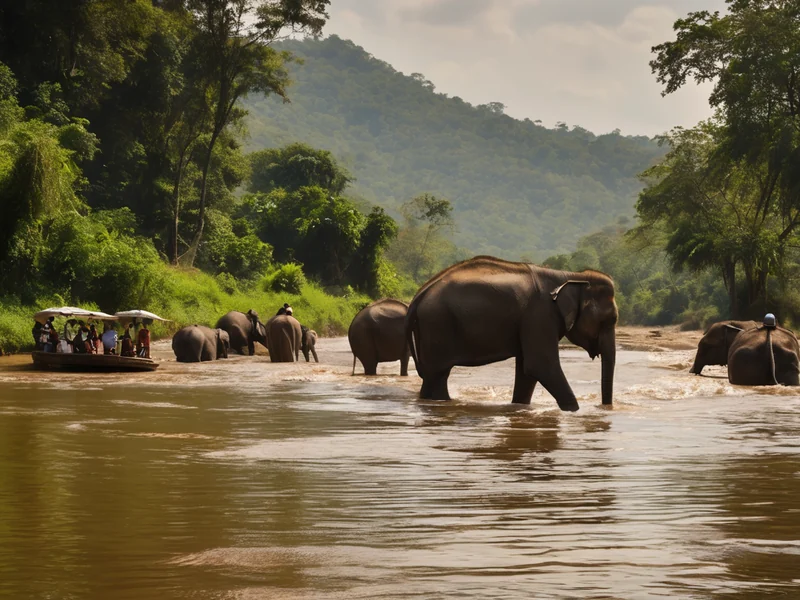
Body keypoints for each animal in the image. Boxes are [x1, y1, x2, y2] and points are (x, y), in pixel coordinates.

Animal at [406, 256, 618, 411]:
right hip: (437, 325)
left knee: (434, 376)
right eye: (608, 321)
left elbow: (527, 370)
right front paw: (574, 411)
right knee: (437, 375)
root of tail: (419, 295)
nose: (604, 408)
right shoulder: (540, 314)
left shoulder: (531, 321)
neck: (572, 276)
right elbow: (540, 366)